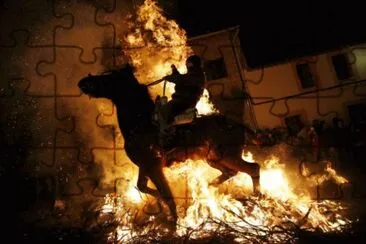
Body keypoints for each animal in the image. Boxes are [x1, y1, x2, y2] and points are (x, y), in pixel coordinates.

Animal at [78, 64, 260, 227]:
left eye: (109, 77)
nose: (83, 82)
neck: (141, 125)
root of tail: (238, 125)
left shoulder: (153, 167)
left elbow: (166, 194)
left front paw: (175, 223)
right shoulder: (145, 166)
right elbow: (143, 187)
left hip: (228, 157)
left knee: (253, 168)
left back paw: (257, 200)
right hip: (213, 159)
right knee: (231, 172)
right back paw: (210, 187)